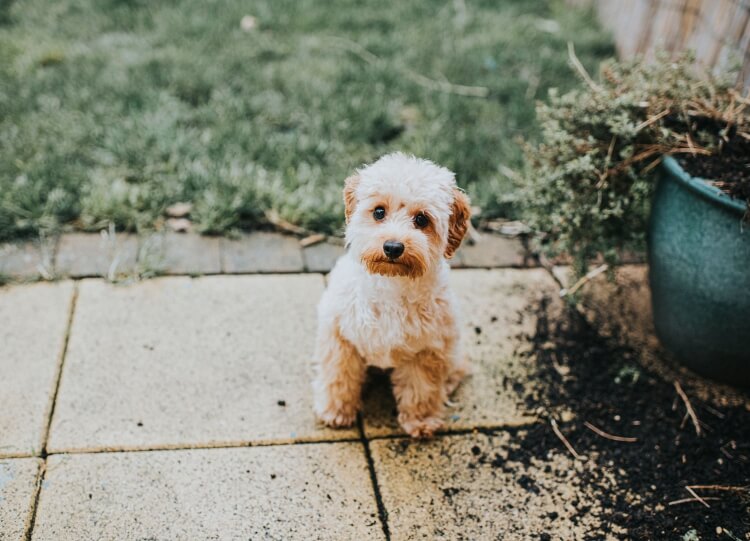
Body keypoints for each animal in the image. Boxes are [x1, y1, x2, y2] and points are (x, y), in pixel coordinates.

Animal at [314, 152, 472, 438]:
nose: (393, 247)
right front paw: (336, 411)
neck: (391, 286)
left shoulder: (429, 350)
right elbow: (338, 375)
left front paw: (421, 420)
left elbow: (422, 388)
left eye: (422, 219)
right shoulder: (340, 337)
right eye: (379, 212)